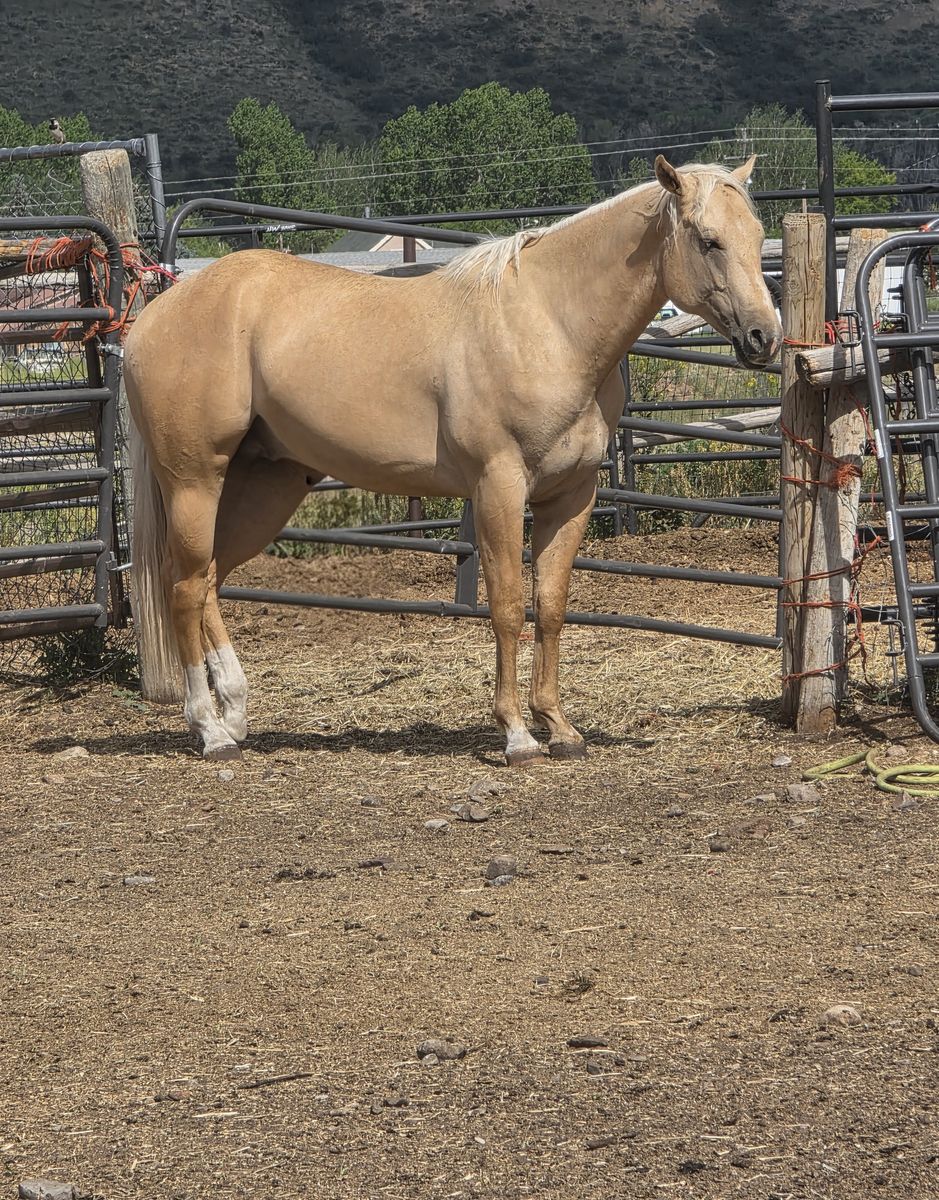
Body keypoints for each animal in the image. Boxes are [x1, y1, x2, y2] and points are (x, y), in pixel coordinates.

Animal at [125, 155, 780, 764]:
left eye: (755, 233)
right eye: (709, 240)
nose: (764, 337)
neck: (549, 326)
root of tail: (152, 316)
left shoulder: (571, 497)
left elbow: (551, 606)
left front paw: (559, 727)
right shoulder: (499, 489)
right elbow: (509, 608)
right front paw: (517, 735)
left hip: (265, 486)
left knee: (209, 579)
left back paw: (235, 714)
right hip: (195, 482)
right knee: (184, 587)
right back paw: (211, 731)